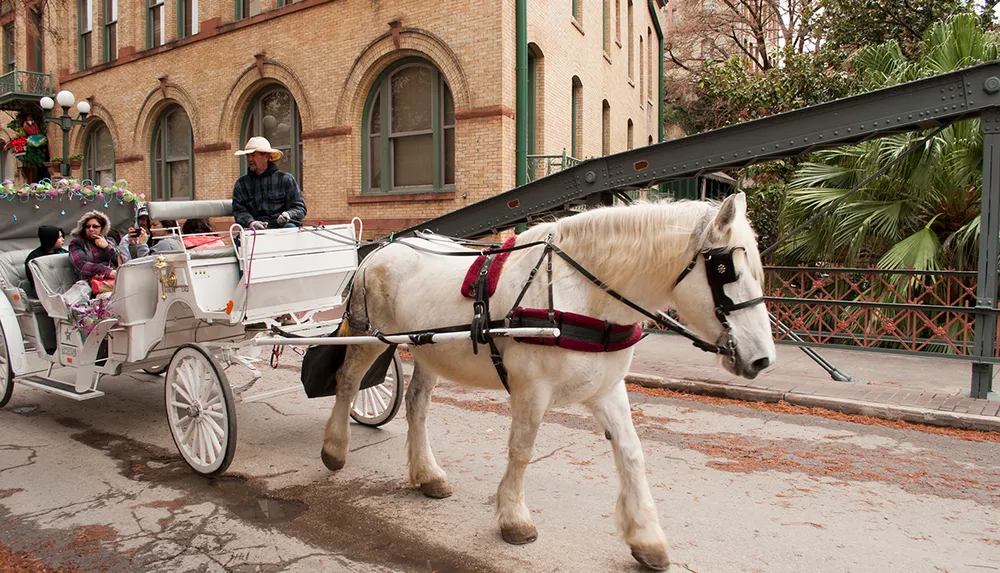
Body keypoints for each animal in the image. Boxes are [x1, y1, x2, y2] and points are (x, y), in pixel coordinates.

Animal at [320, 191, 772, 568]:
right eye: (726, 269)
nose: (763, 358)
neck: (582, 295)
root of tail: (381, 248)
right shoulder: (531, 389)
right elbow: (522, 450)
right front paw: (514, 519)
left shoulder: (607, 389)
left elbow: (631, 453)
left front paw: (646, 537)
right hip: (368, 339)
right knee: (347, 383)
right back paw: (335, 450)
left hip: (429, 349)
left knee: (416, 404)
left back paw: (428, 474)